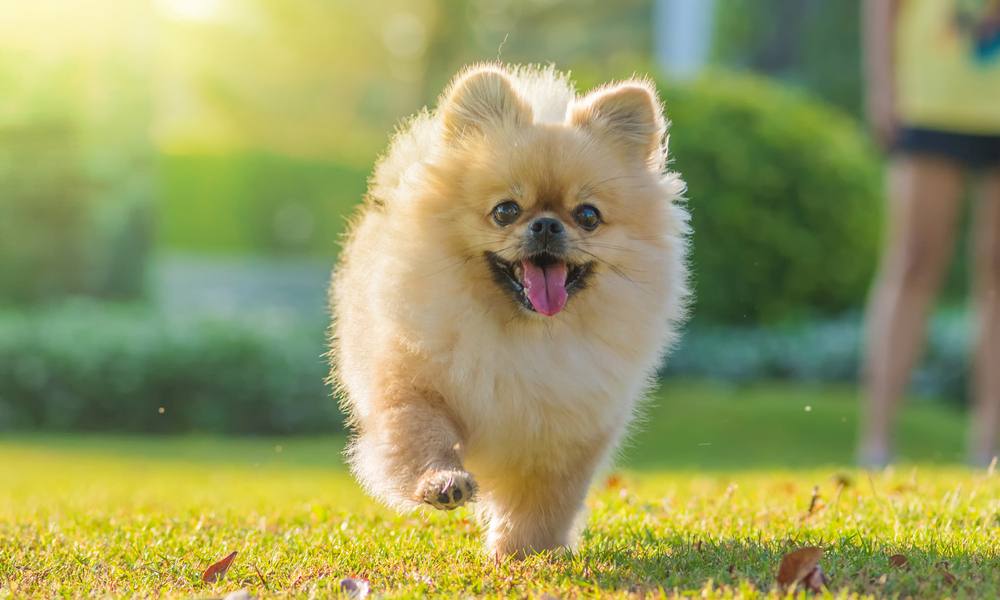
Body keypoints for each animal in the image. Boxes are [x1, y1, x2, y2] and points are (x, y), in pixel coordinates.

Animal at [328, 62, 688, 556]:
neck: (522, 335)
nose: (547, 224)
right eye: (505, 211)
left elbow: (545, 498)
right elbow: (422, 438)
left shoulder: (566, 432)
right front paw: (443, 482)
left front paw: (524, 550)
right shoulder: (412, 388)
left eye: (588, 216)